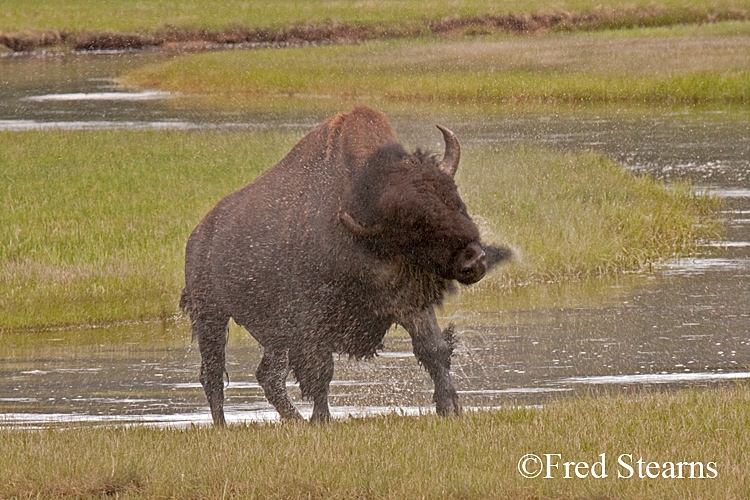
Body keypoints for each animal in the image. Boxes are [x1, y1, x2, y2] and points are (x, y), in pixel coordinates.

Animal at [182, 106, 512, 426]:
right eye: (414, 223)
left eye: (453, 197)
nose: (475, 260)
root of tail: (198, 236)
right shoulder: (312, 320)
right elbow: (319, 371)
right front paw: (322, 420)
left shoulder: (409, 303)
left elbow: (434, 349)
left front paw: (451, 408)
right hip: (211, 314)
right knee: (213, 374)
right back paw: (223, 426)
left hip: (273, 333)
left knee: (268, 376)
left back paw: (294, 421)